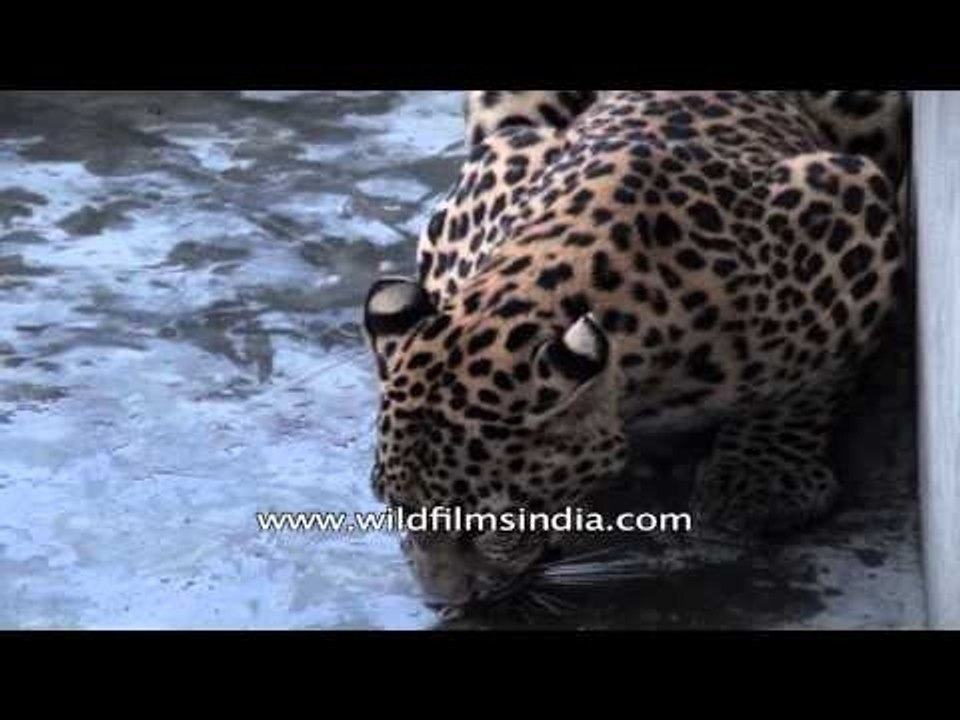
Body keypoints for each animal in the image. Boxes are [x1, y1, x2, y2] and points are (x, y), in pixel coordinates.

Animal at [361, 90, 910, 615]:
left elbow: (822, 375)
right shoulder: (495, 165)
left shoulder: (848, 201)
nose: (445, 603)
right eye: (402, 508)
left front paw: (763, 476)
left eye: (495, 523)